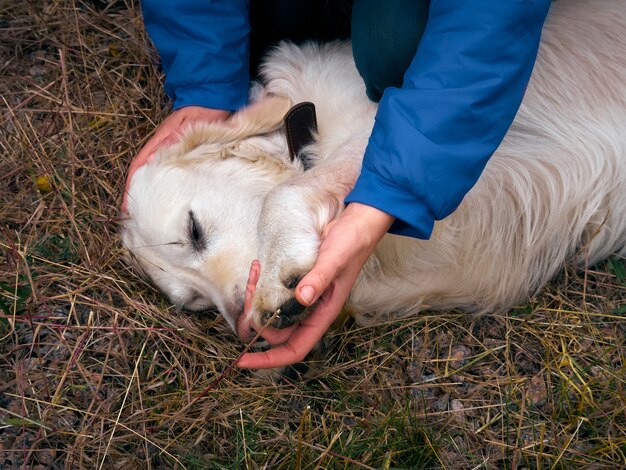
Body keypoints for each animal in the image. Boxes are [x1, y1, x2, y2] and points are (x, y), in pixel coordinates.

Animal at [122, 0, 624, 346]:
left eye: (194, 230)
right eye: (197, 303)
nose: (246, 330)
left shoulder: (390, 127)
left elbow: (289, 193)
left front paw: (276, 276)